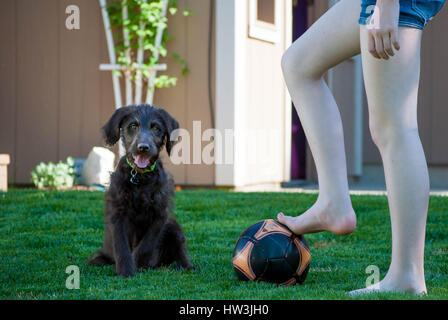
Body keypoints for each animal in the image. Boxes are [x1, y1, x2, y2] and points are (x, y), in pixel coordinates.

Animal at [89, 104, 194, 276]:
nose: (143, 148)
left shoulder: (160, 214)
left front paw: (138, 263)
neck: (140, 177)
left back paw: (185, 266)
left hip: (173, 226)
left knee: (180, 250)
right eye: (133, 126)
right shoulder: (117, 213)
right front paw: (126, 271)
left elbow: (146, 244)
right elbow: (121, 245)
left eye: (156, 128)